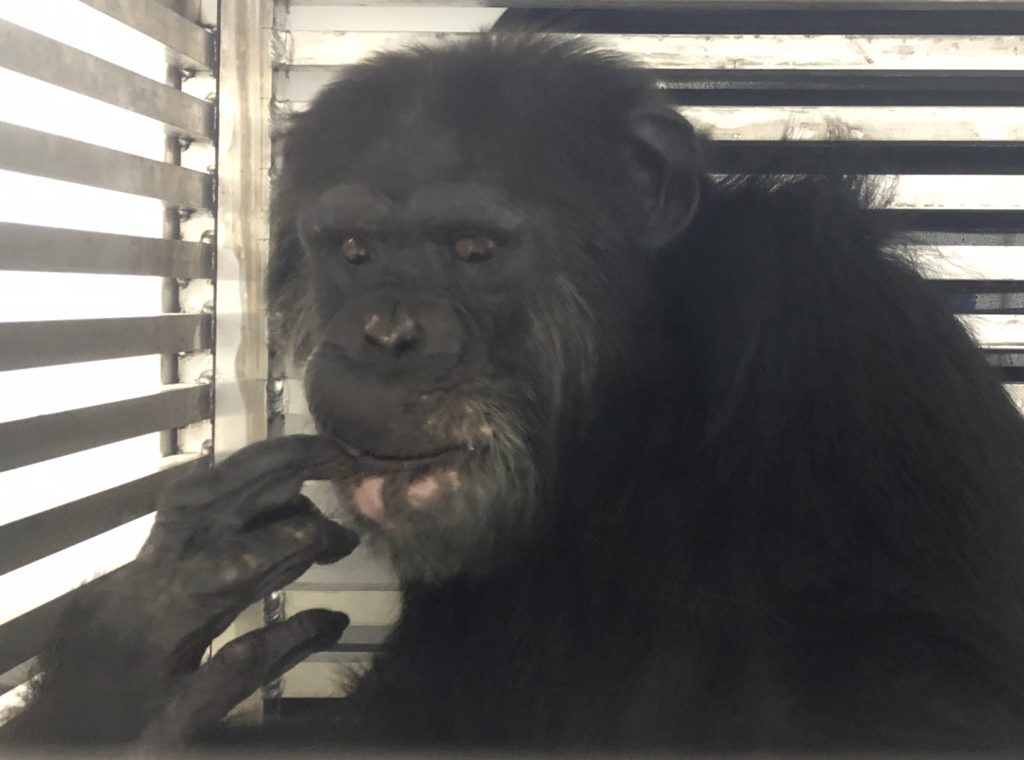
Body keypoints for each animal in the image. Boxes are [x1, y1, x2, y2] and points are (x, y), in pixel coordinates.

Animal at [6, 34, 1024, 749]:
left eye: (473, 248)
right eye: (355, 251)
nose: (387, 336)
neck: (627, 434)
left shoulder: (847, 337)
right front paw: (130, 665)